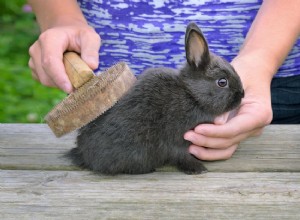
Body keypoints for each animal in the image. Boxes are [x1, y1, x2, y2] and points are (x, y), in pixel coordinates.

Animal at [67, 22, 245, 175]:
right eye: (222, 82)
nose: (242, 95)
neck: (191, 95)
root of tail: (84, 153)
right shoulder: (177, 139)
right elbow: (181, 155)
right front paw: (198, 169)